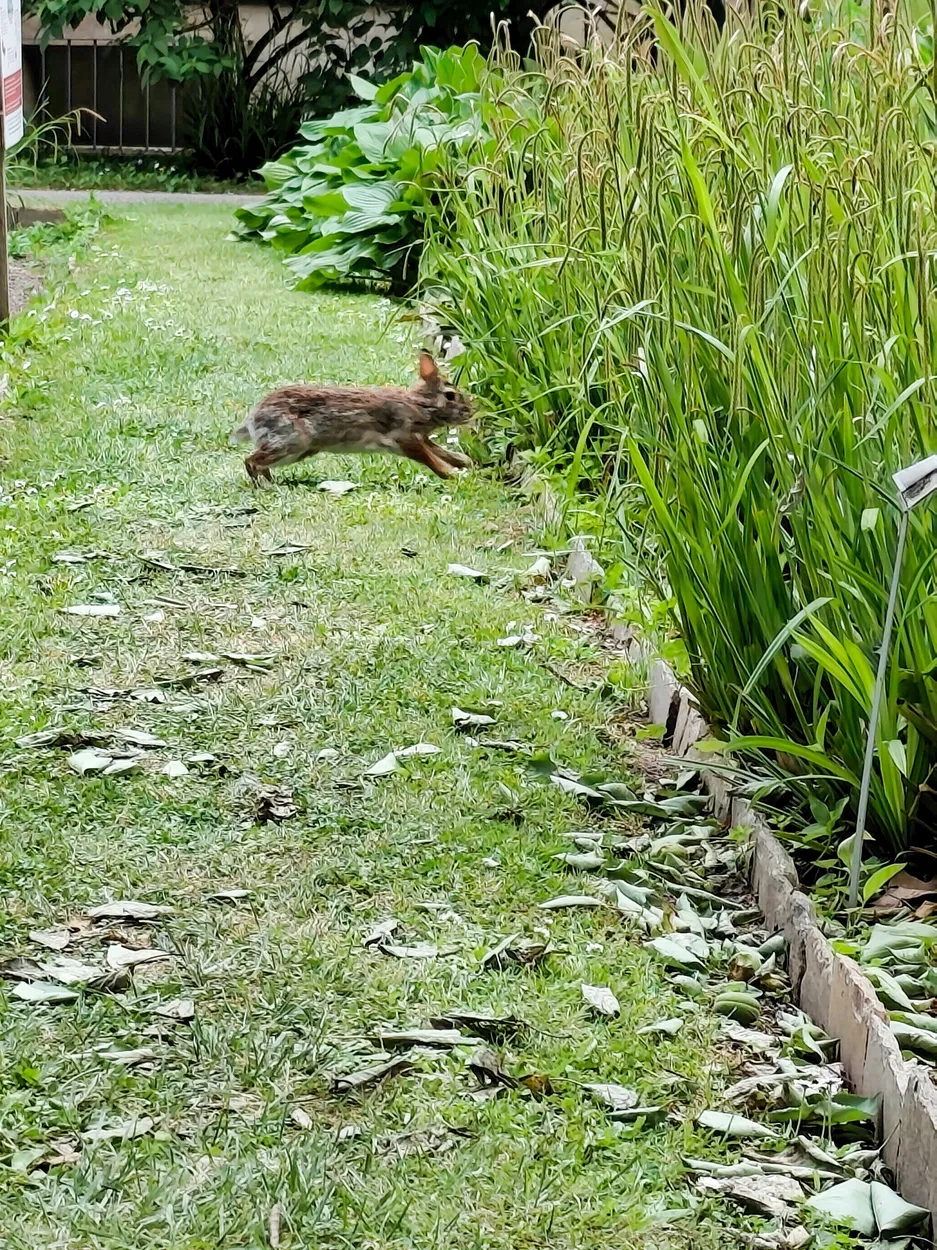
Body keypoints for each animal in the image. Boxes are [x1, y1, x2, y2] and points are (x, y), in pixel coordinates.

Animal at [231, 352, 473, 485]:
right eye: (450, 395)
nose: (471, 411)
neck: (419, 404)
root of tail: (254, 418)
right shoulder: (404, 437)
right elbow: (431, 460)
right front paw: (454, 476)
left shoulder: (421, 439)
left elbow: (441, 453)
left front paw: (464, 463)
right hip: (291, 441)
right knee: (251, 461)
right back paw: (266, 487)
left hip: (298, 451)